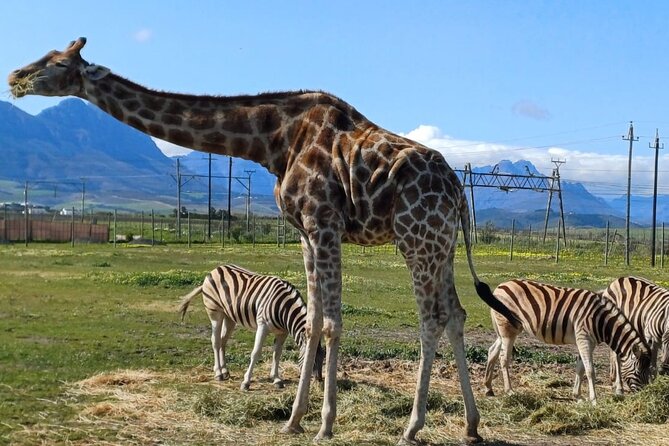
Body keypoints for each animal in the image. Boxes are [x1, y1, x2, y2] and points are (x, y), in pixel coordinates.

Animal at [8, 37, 520, 444]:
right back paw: (472, 425)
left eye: (57, 62)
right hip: (440, 244)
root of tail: (458, 191)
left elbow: (331, 323)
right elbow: (312, 321)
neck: (271, 141)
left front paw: (324, 424)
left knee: (432, 318)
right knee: (456, 313)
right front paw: (294, 418)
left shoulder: (323, 222)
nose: (15, 76)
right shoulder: (304, 233)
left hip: (417, 238)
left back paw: (412, 426)